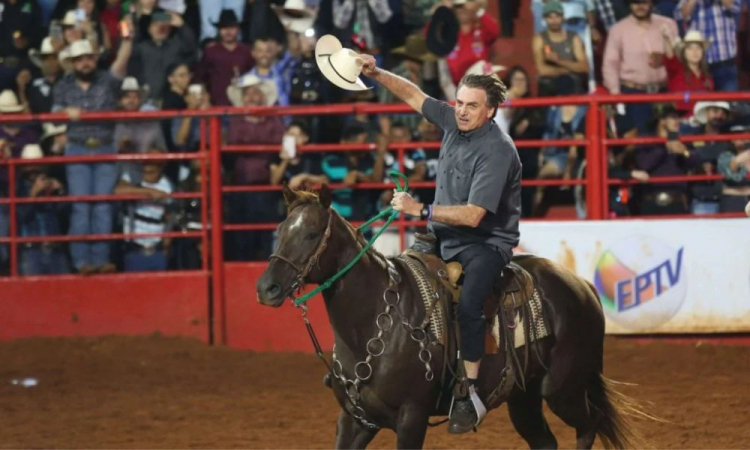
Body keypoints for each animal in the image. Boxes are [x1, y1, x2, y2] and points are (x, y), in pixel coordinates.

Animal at [256, 185, 644, 448]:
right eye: (280, 230)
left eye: (310, 234)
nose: (267, 288)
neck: (373, 322)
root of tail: (582, 286)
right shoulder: (355, 421)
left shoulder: (411, 418)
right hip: (524, 397)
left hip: (563, 389)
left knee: (589, 425)